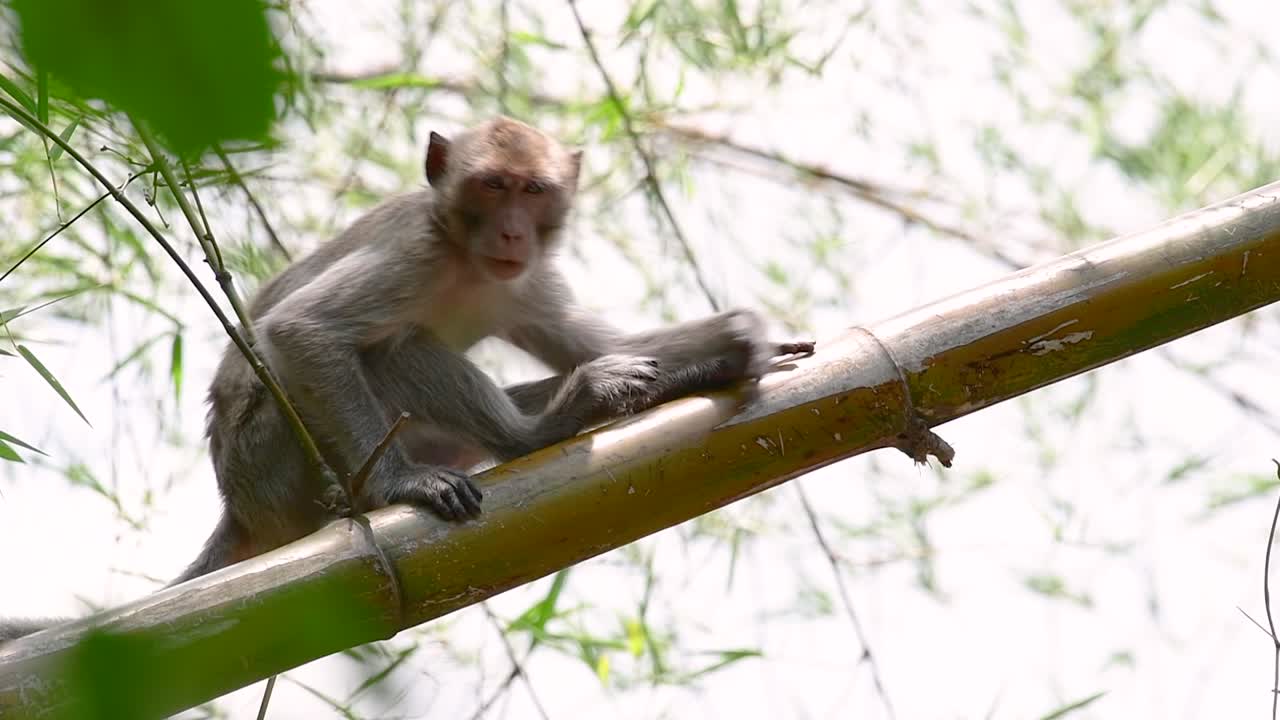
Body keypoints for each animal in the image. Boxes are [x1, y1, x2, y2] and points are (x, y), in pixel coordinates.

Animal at [0, 117, 813, 643]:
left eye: (534, 191)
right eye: (491, 186)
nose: (512, 230)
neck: (466, 256)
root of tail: (238, 503)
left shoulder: (527, 283)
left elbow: (593, 341)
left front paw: (737, 341)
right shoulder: (413, 252)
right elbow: (301, 331)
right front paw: (403, 487)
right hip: (276, 456)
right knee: (393, 348)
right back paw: (536, 432)